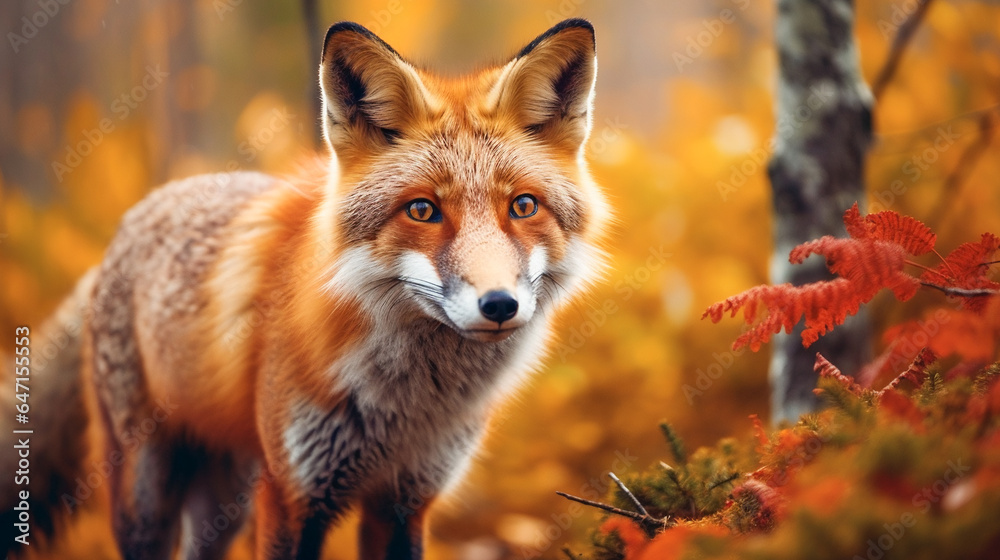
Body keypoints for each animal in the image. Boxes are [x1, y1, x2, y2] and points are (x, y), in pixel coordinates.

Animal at [2, 18, 608, 560]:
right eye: (422, 210)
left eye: (523, 206)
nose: (500, 305)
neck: (408, 408)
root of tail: (129, 222)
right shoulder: (294, 497)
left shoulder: (405, 501)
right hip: (148, 495)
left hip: (226, 499)